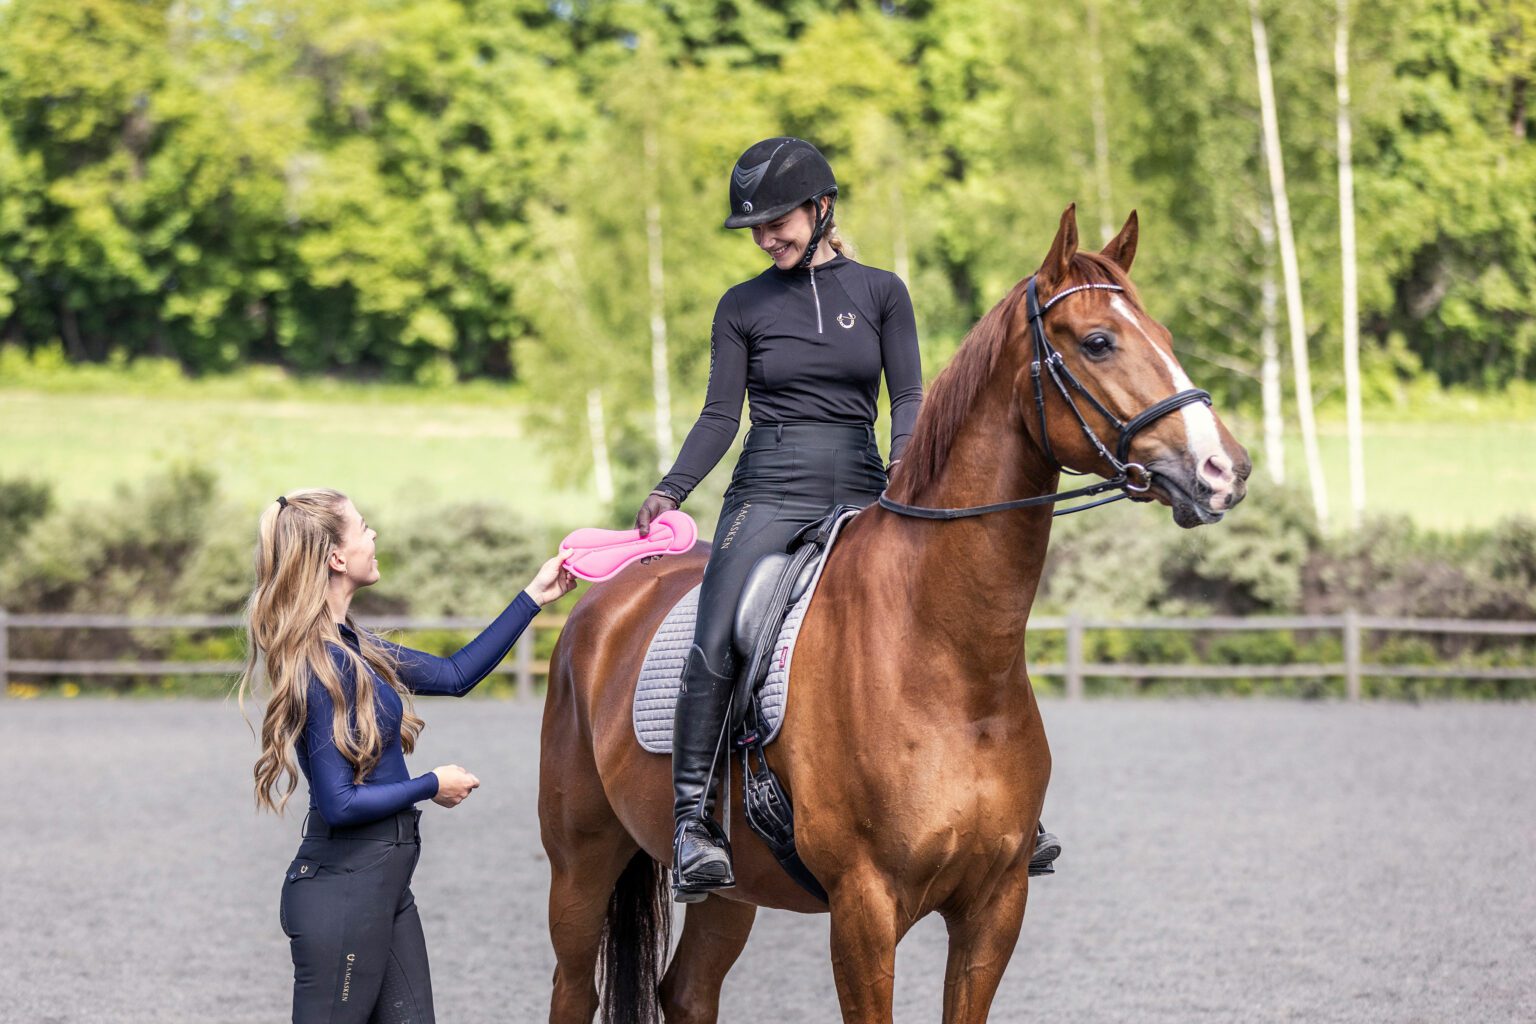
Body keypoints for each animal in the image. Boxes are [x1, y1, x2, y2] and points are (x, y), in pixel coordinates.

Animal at [537, 204, 1247, 1019]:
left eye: (1165, 336)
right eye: (1099, 341)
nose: (1225, 471)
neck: (950, 664)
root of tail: (604, 605)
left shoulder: (994, 906)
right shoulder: (865, 908)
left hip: (732, 894)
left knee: (685, 991)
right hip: (580, 866)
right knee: (575, 988)